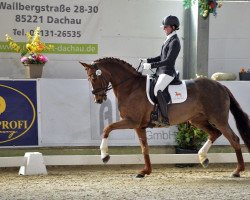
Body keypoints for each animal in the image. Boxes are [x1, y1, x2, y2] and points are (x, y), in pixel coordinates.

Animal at [80, 57, 250, 177]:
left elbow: (107, 128)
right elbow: (144, 148)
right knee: (215, 133)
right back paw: (203, 158)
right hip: (197, 119)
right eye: (88, 79)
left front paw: (104, 156)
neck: (130, 87)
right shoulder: (139, 126)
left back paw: (237, 171)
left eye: (94, 78)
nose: (98, 99)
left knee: (234, 139)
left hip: (218, 119)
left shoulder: (132, 121)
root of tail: (221, 86)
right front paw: (145, 171)